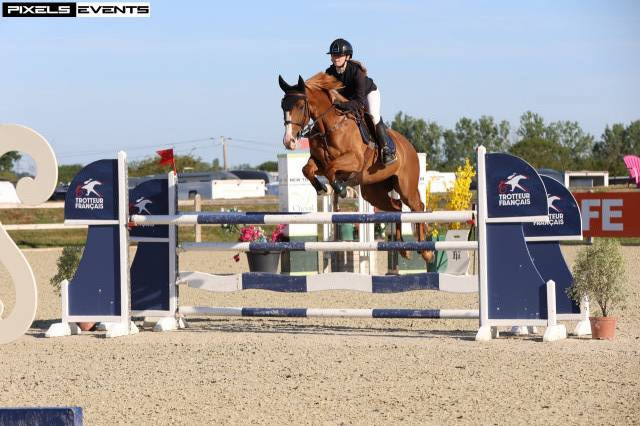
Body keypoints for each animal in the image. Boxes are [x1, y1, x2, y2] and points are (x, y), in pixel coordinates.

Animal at [278, 73, 433, 263]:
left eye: (300, 106)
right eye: (282, 106)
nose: (289, 141)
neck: (329, 125)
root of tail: (410, 147)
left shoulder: (355, 160)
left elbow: (331, 168)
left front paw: (340, 188)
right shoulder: (319, 162)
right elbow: (308, 169)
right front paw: (322, 188)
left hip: (405, 186)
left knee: (417, 206)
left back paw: (426, 251)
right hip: (372, 191)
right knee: (396, 207)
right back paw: (402, 247)